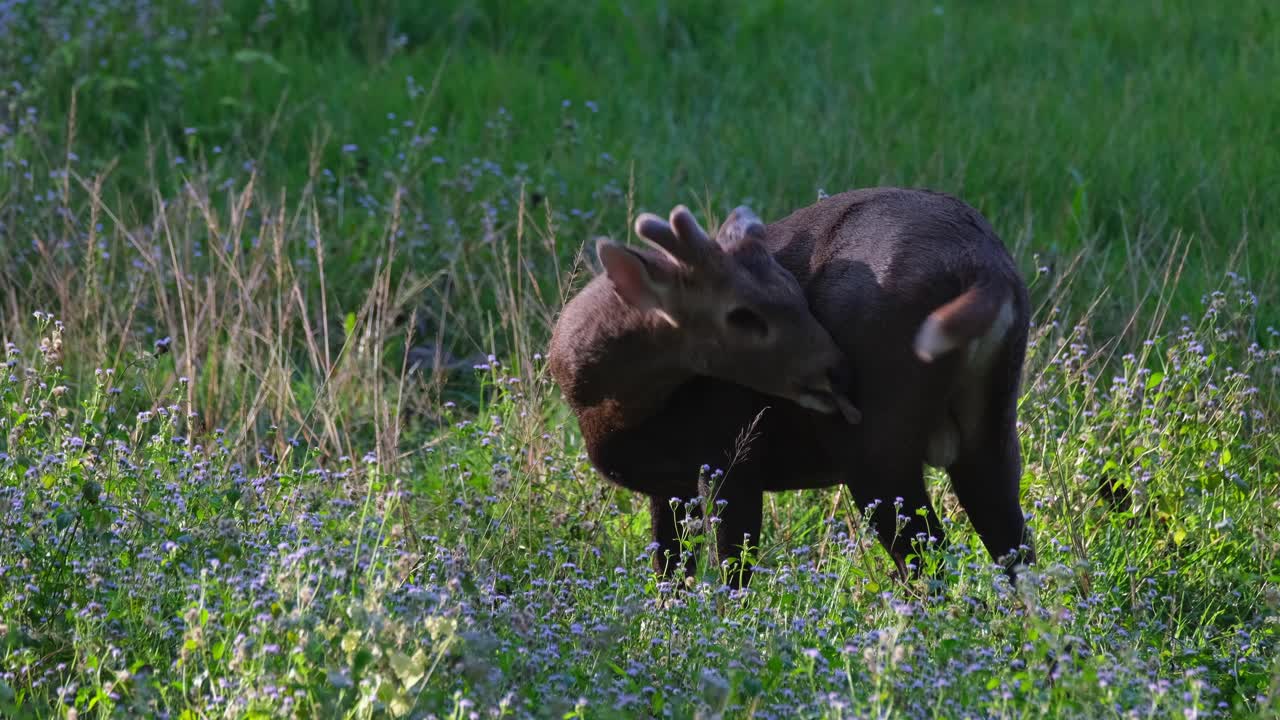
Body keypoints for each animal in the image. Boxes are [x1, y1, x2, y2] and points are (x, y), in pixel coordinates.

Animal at [547, 187, 1035, 588]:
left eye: (795, 291)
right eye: (743, 316)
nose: (838, 372)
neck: (607, 408)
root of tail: (984, 267)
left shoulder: (731, 452)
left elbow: (733, 570)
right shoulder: (669, 484)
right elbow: (670, 572)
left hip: (876, 441)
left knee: (928, 555)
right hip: (990, 426)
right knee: (1016, 550)